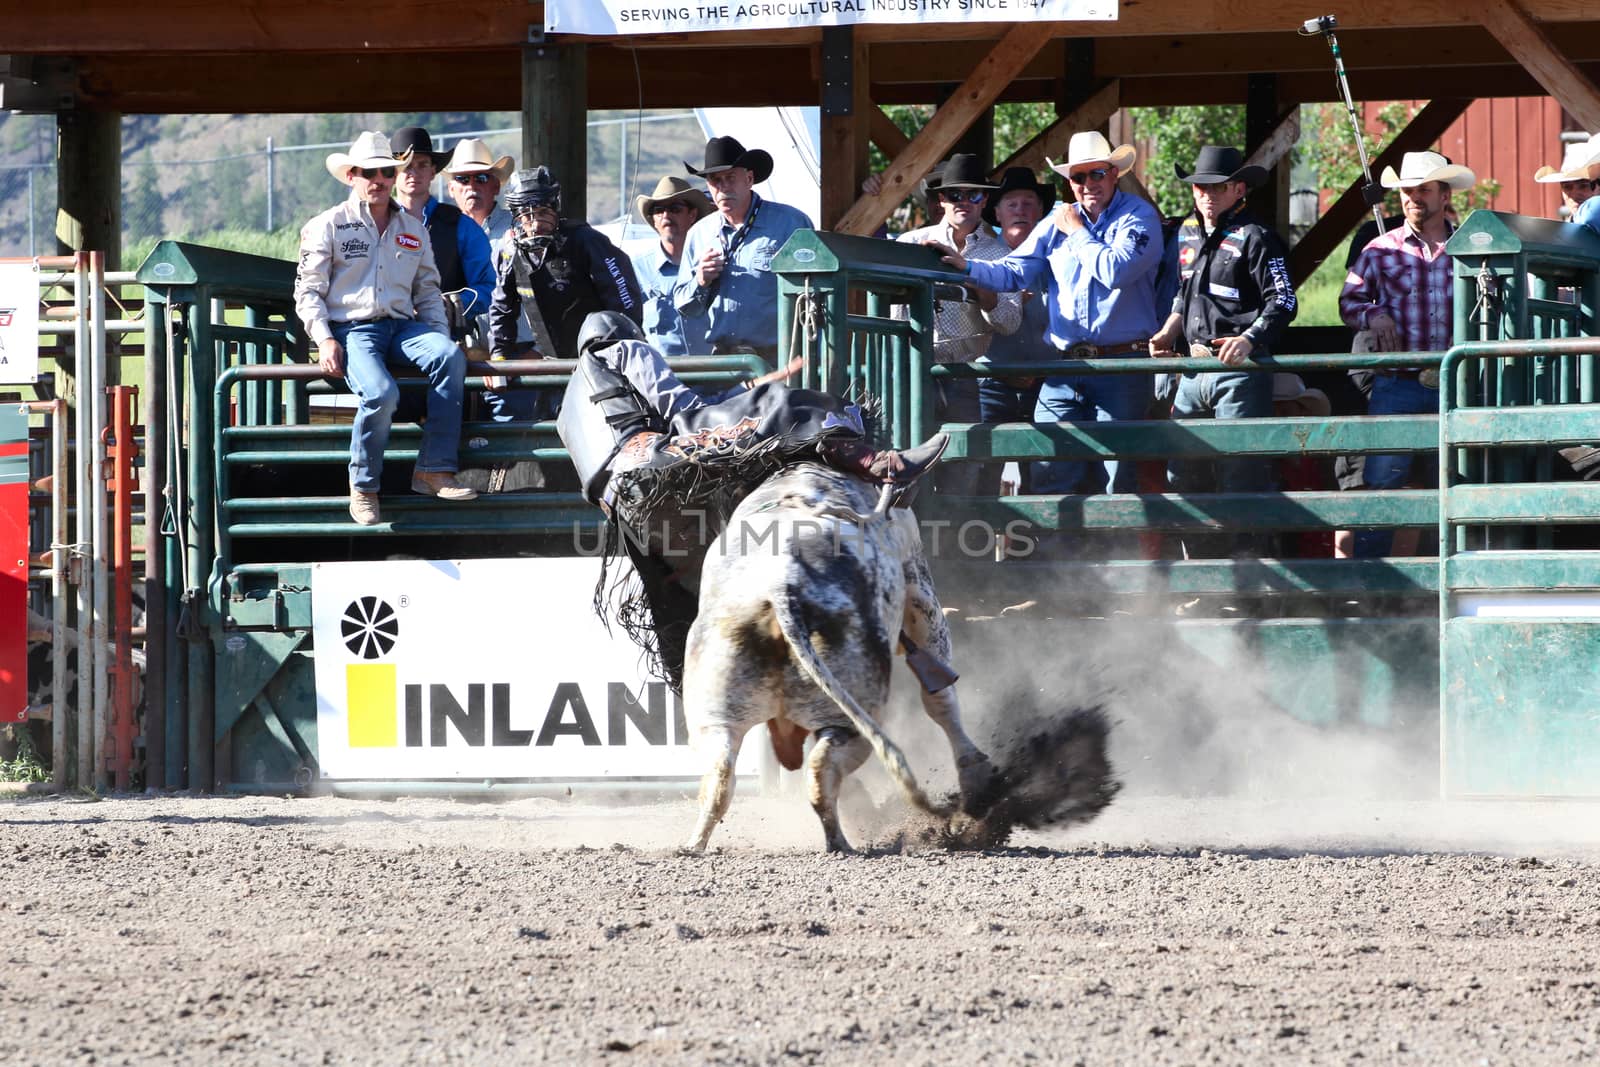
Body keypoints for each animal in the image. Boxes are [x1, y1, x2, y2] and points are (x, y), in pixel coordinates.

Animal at [681, 463, 992, 857]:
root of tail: (781, 588)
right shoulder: (920, 589)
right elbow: (940, 698)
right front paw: (974, 769)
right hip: (854, 716)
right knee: (822, 768)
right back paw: (842, 841)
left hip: (718, 708)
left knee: (720, 775)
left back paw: (694, 844)